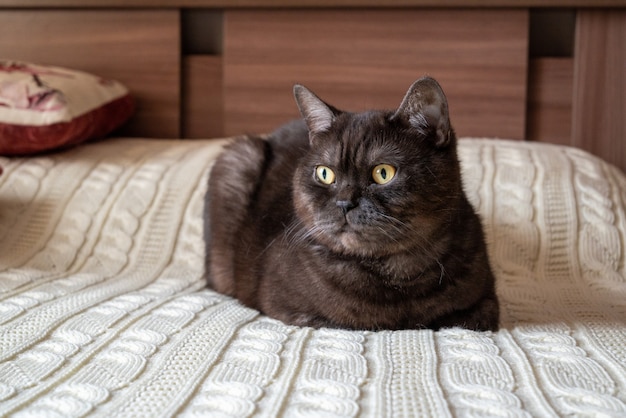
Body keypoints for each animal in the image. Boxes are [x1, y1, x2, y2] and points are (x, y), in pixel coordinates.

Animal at [205, 77, 498, 334]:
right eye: (325, 173)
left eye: (383, 173)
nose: (345, 203)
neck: (396, 274)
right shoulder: (287, 308)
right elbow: (341, 320)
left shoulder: (486, 303)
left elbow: (460, 319)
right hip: (240, 156)